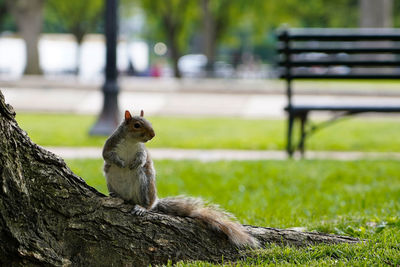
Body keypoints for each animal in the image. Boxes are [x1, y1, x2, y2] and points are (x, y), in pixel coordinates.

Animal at [103, 110, 260, 249]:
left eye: (150, 122)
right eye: (137, 125)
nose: (153, 135)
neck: (131, 142)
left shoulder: (142, 151)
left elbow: (142, 159)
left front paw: (133, 164)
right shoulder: (111, 144)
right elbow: (107, 156)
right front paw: (121, 163)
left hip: (144, 183)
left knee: (149, 205)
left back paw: (142, 207)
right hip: (110, 177)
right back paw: (115, 195)